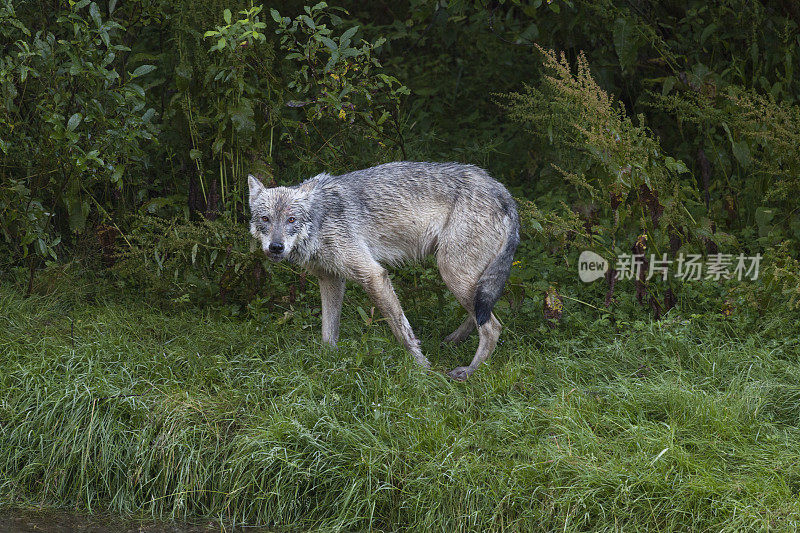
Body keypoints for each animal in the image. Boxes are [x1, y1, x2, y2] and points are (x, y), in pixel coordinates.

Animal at [253, 160, 520, 380]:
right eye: (265, 219)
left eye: (291, 220)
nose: (276, 247)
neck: (319, 219)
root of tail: (504, 192)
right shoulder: (331, 280)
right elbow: (328, 332)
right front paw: (328, 363)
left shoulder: (373, 275)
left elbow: (402, 331)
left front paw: (422, 368)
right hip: (464, 278)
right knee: (482, 313)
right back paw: (455, 340)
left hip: (451, 272)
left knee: (493, 327)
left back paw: (469, 371)